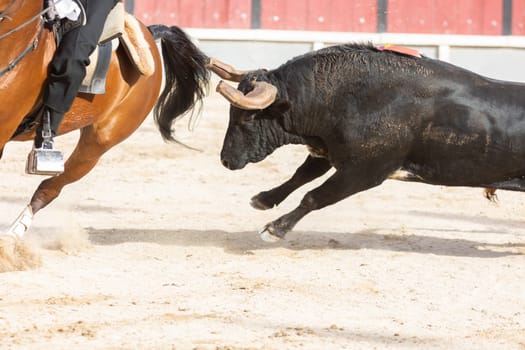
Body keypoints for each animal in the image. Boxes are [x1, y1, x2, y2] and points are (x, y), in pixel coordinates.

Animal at [208, 43, 524, 241]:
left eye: (248, 118)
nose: (226, 159)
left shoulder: (364, 172)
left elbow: (314, 196)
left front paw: (275, 229)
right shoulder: (330, 151)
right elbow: (301, 176)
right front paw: (263, 199)